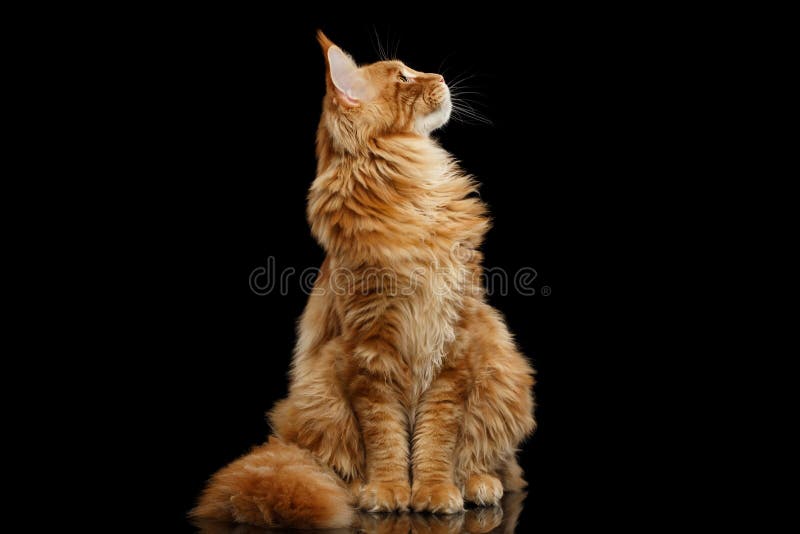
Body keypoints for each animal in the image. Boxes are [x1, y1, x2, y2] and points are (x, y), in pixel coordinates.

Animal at [190, 33, 536, 532]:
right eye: (404, 77)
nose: (440, 76)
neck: (409, 189)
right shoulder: (369, 353)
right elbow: (385, 437)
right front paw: (389, 492)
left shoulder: (454, 347)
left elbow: (437, 439)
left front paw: (435, 491)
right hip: (319, 395)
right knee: (337, 459)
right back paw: (355, 490)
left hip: (501, 369)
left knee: (498, 464)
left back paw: (477, 483)